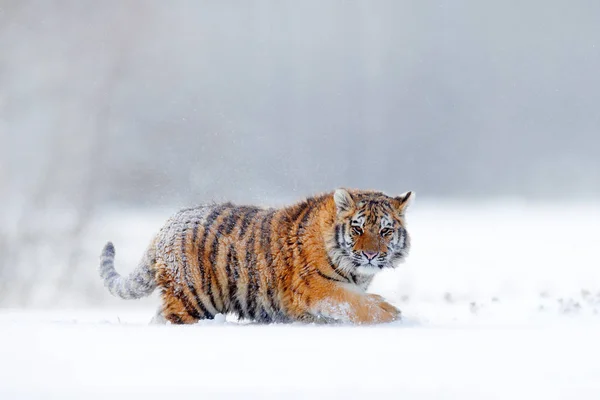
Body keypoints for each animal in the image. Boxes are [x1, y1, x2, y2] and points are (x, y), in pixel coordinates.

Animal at [99, 188, 412, 324]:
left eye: (385, 231)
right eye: (358, 228)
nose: (370, 255)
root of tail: (166, 226)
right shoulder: (317, 288)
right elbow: (355, 304)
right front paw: (392, 314)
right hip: (191, 299)